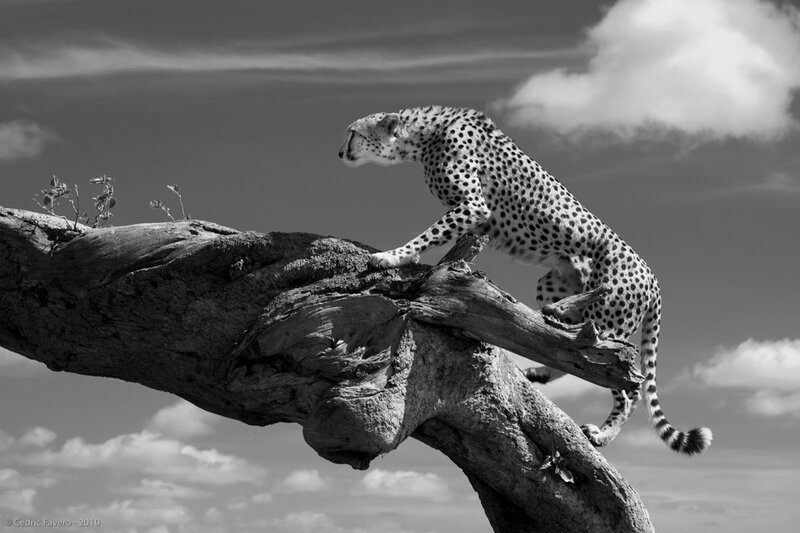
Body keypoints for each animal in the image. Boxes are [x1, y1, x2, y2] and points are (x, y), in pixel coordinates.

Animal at [338, 105, 712, 455]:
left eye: (352, 133)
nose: (340, 153)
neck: (425, 134)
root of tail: (653, 276)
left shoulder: (473, 206)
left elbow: (429, 234)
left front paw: (393, 256)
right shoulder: (475, 219)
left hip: (609, 322)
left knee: (624, 386)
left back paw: (602, 434)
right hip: (554, 285)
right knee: (568, 345)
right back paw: (541, 371)